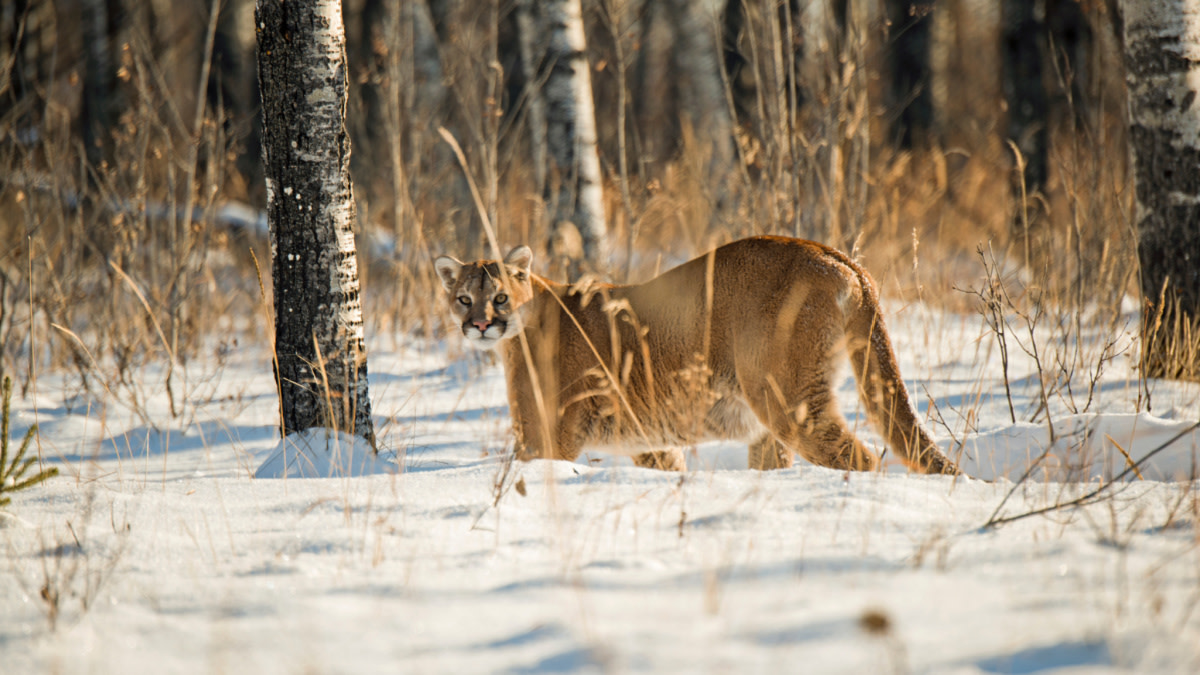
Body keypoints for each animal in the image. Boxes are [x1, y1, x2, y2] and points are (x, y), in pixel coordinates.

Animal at [436, 236, 960, 473]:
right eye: (463, 298)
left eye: (500, 297)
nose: (479, 324)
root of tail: (832, 253)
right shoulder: (649, 440)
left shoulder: (546, 440)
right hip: (768, 422)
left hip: (788, 399)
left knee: (862, 457)